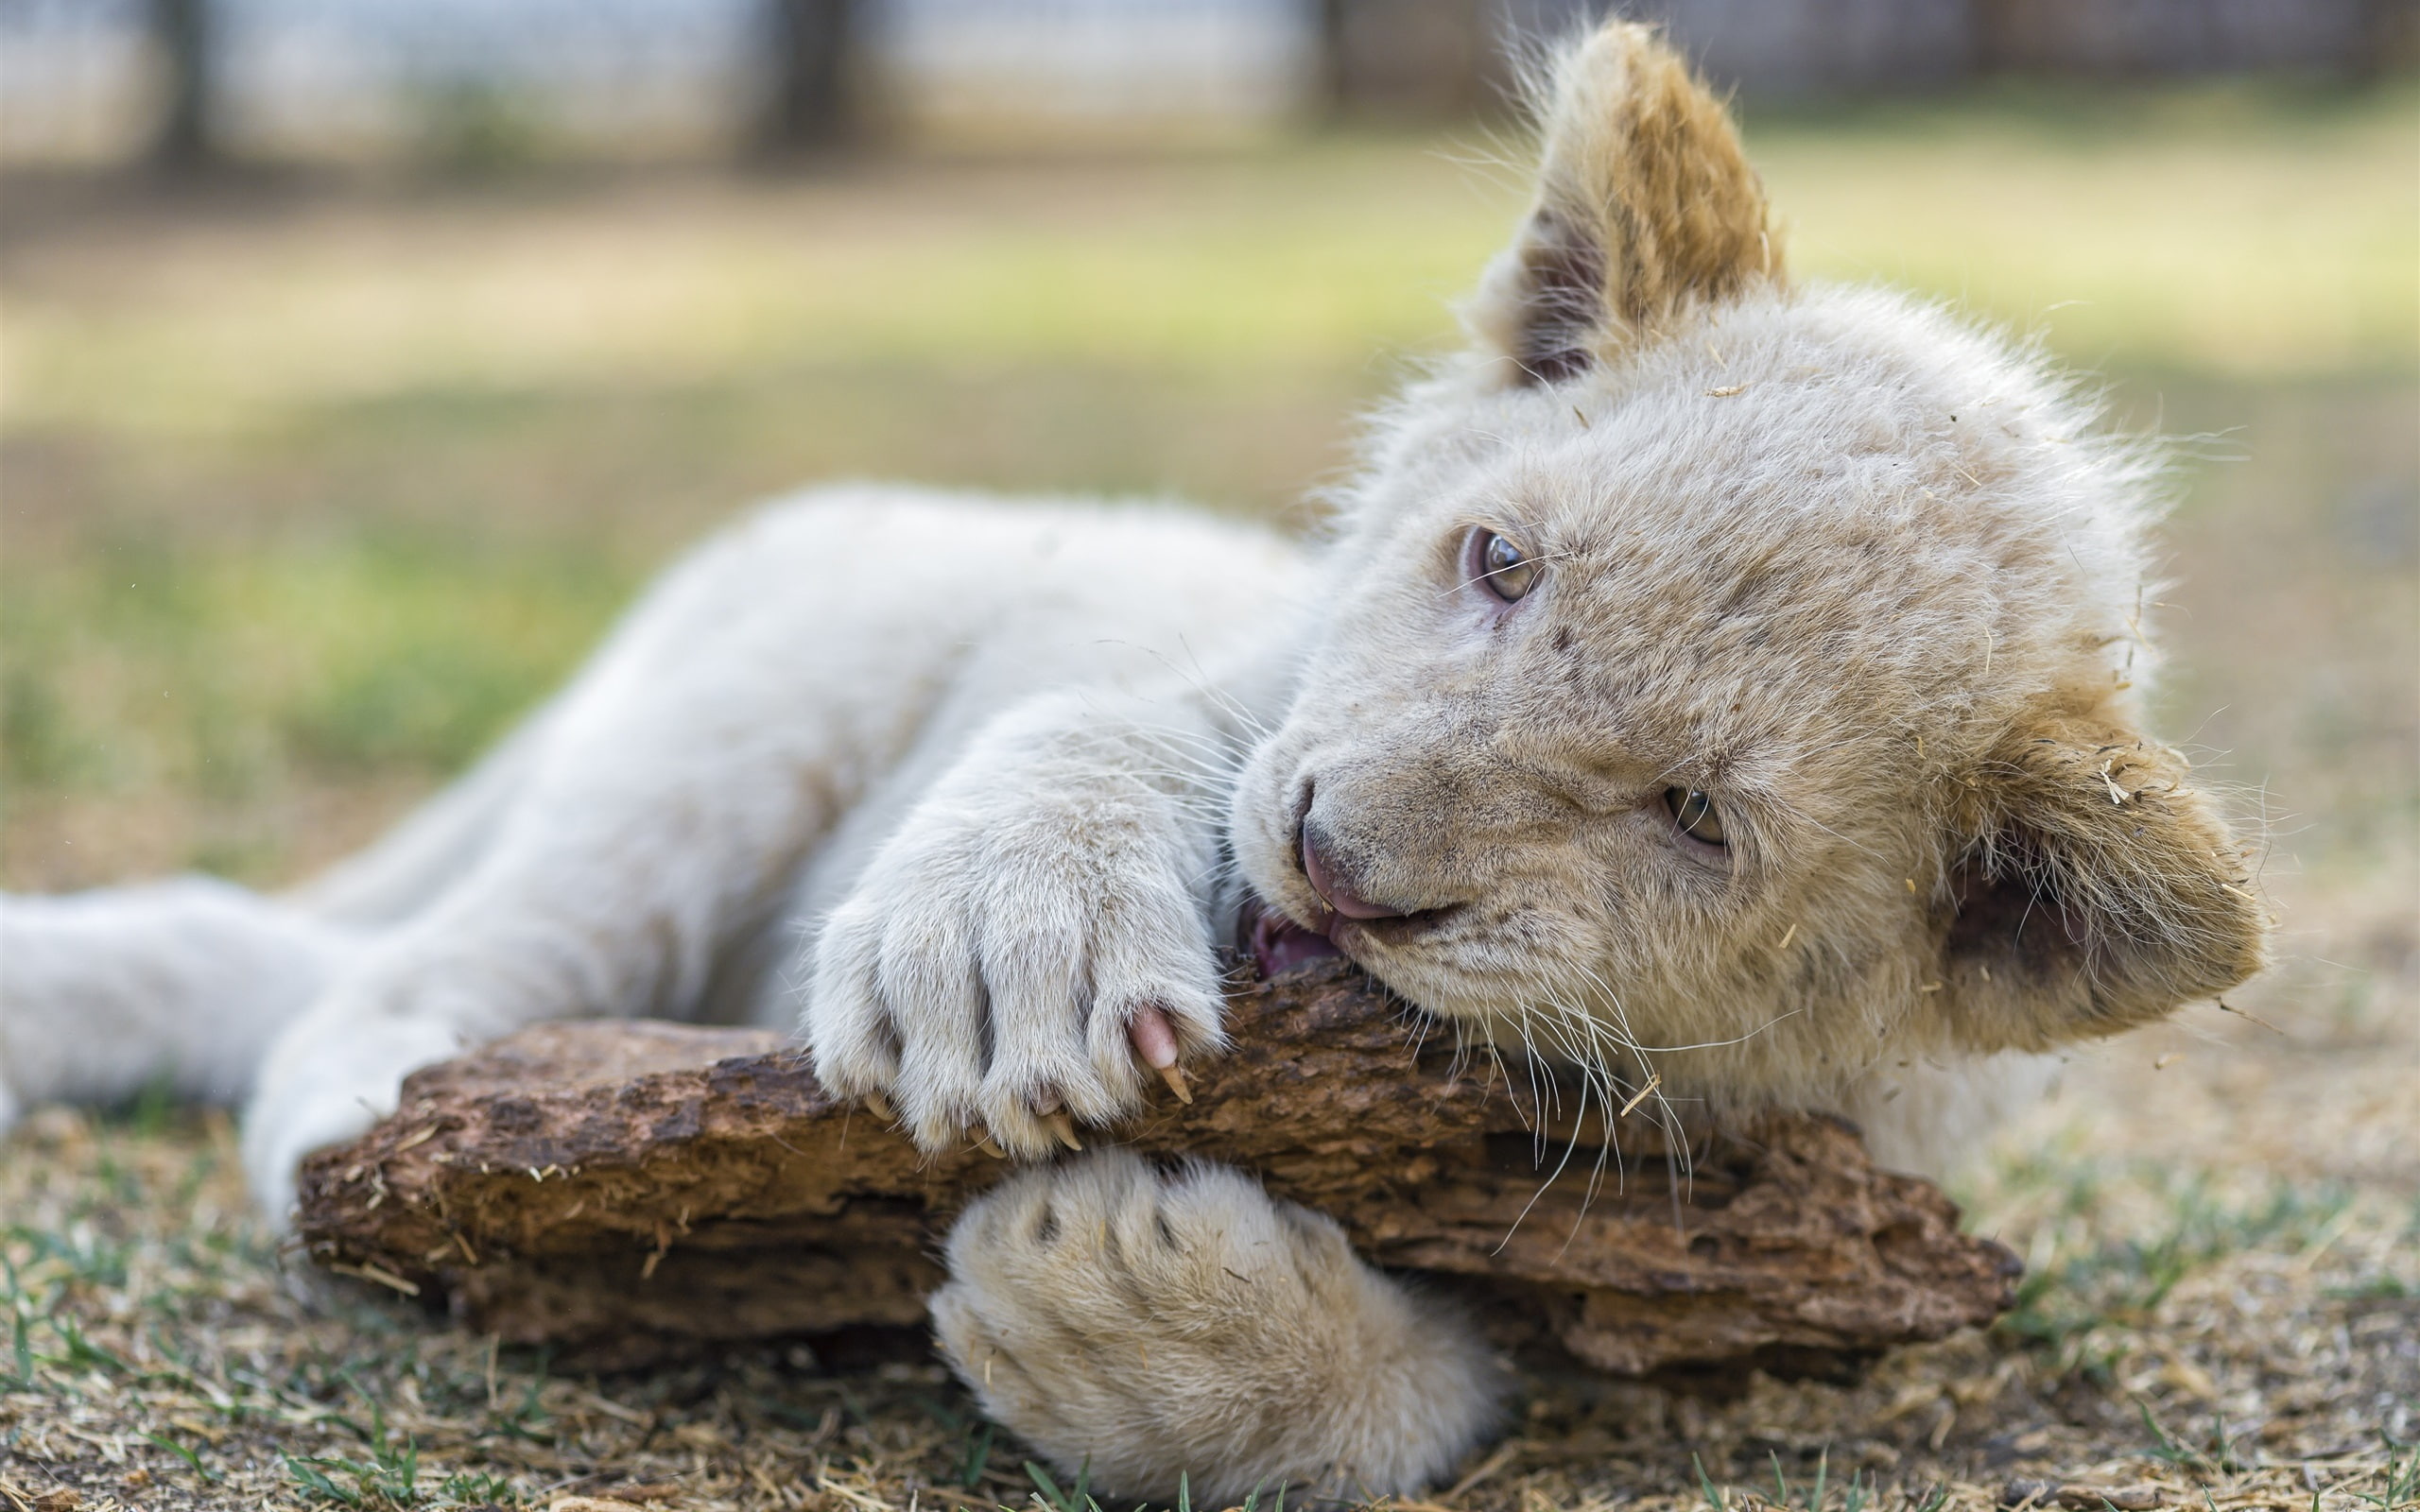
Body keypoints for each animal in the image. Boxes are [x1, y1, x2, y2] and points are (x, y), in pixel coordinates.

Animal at [0, 21, 2264, 1498]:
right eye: (1499, 561)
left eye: (1694, 818)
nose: (1341, 861)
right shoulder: (1237, 674)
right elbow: (1114, 722)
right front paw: (1011, 956)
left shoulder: (1735, 1277)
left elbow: (1433, 1398)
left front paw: (1123, 1305)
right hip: (724, 727)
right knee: (369, 984)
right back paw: (397, 1132)